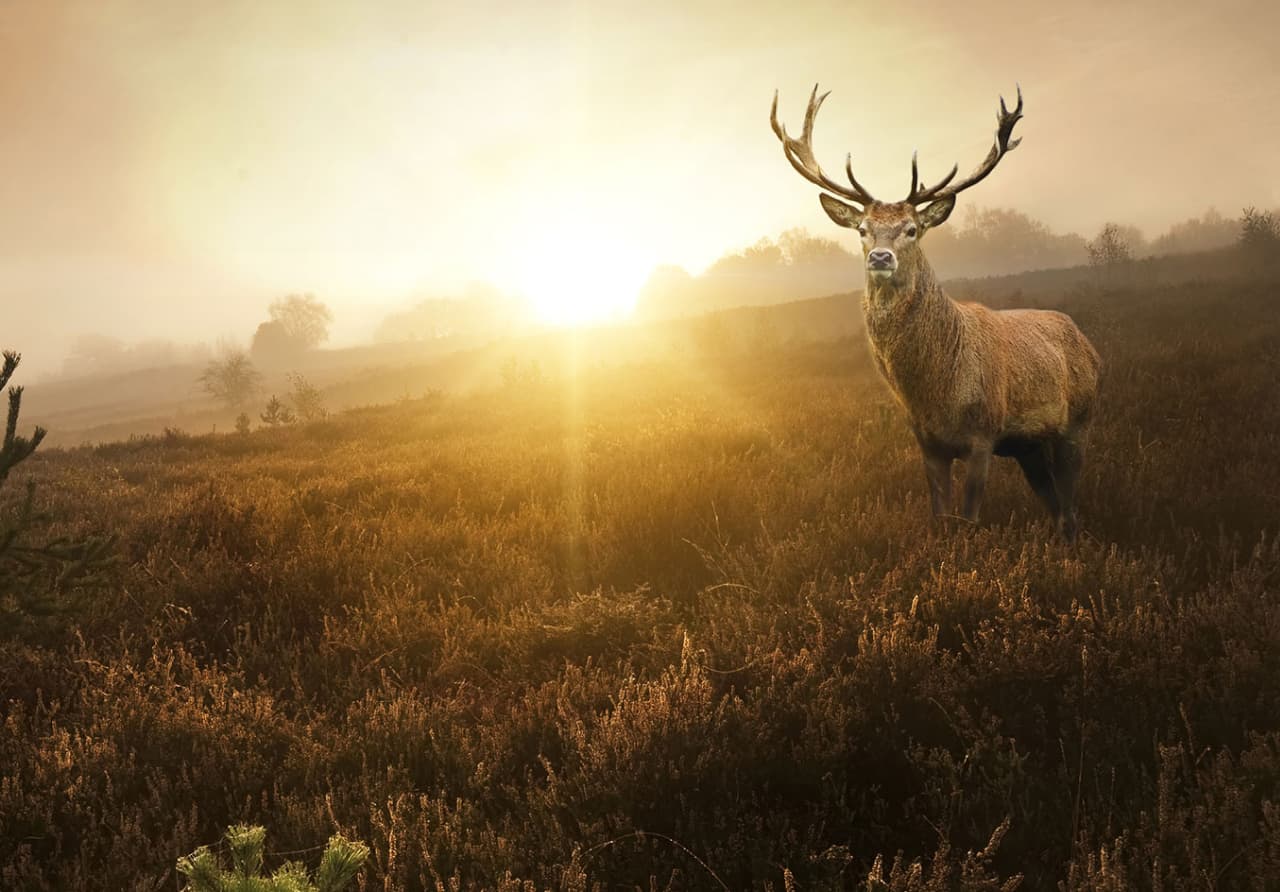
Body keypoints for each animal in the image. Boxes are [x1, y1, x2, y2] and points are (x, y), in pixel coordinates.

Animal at [770, 85, 1101, 542]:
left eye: (912, 229)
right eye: (862, 230)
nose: (880, 256)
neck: (937, 392)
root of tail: (1088, 344)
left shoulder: (983, 432)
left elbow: (970, 518)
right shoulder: (927, 442)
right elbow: (940, 517)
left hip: (1079, 421)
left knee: (1070, 505)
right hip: (1029, 446)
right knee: (1055, 507)